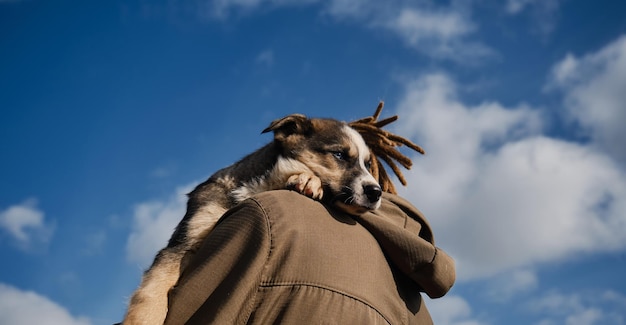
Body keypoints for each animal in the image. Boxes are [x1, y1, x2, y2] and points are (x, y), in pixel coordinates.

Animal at [122, 114, 380, 324]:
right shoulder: (182, 243)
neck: (256, 188)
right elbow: (152, 293)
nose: (376, 192)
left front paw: (309, 180)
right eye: (339, 155)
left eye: (368, 165)